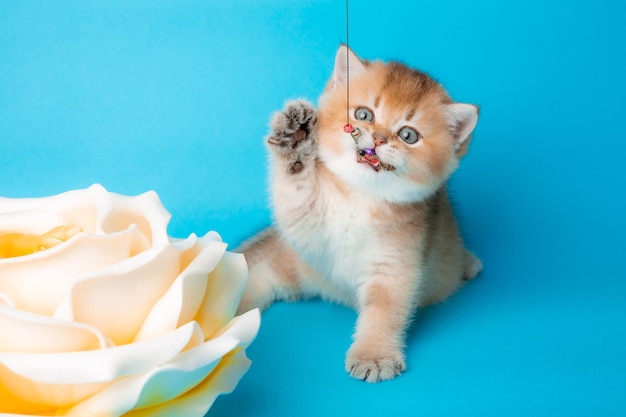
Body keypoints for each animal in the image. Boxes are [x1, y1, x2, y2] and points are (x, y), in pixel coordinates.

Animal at [236, 44, 480, 380]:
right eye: (364, 114)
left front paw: (374, 355)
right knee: (257, 277)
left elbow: (384, 310)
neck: (360, 198)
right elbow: (296, 197)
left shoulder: (395, 266)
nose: (377, 138)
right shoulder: (308, 228)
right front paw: (295, 140)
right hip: (295, 263)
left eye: (408, 135)